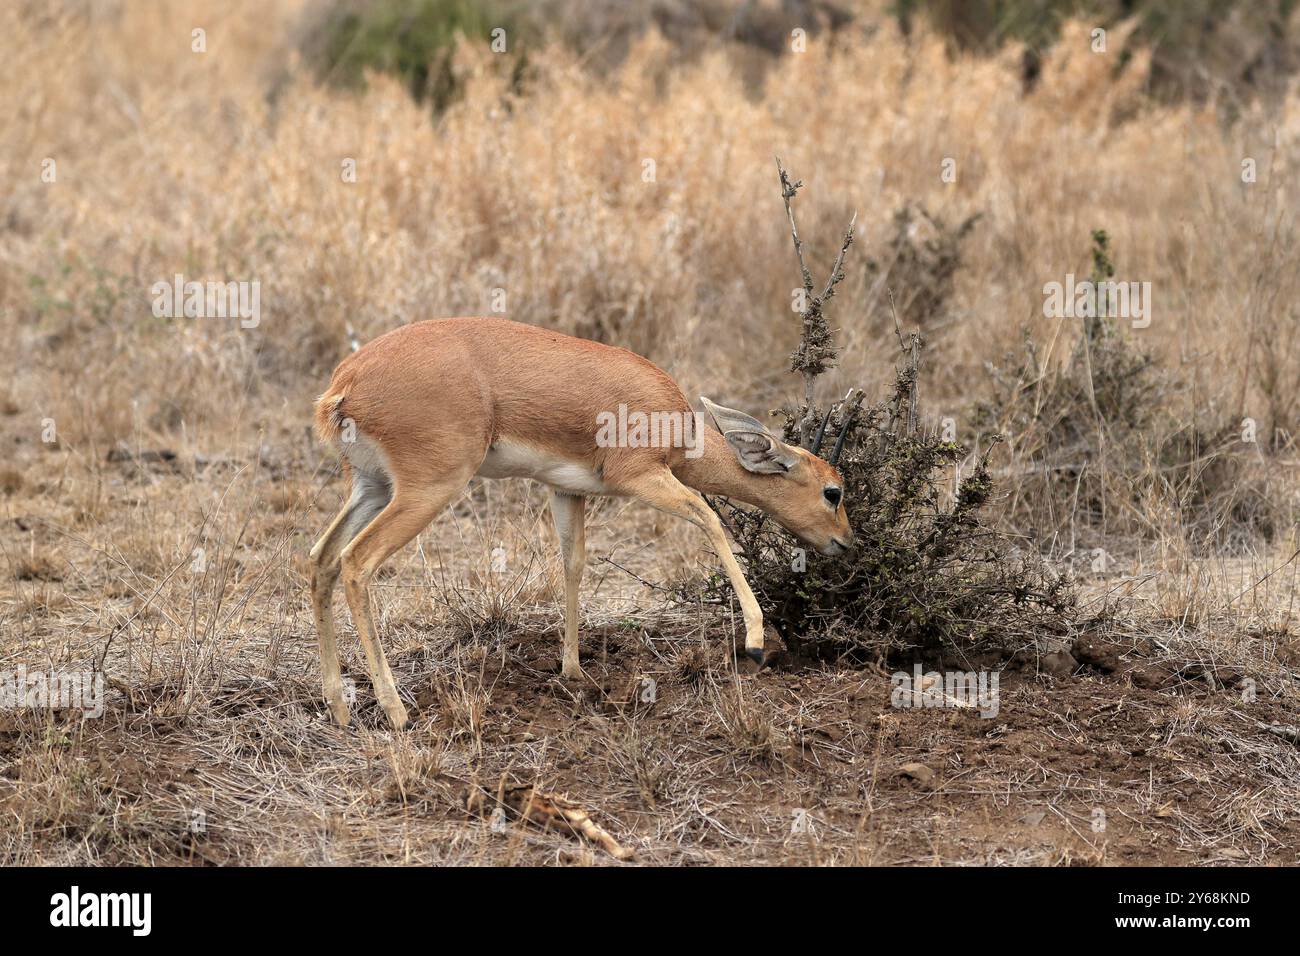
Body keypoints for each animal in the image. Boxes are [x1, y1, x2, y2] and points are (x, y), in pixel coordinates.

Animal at [304, 317, 852, 728]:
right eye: (833, 491)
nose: (846, 543)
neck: (680, 428)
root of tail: (345, 384)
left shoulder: (567, 491)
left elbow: (573, 563)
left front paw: (572, 671)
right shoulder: (643, 477)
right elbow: (709, 519)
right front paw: (756, 643)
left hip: (373, 487)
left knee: (320, 559)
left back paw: (339, 708)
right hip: (428, 490)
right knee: (356, 563)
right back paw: (396, 712)